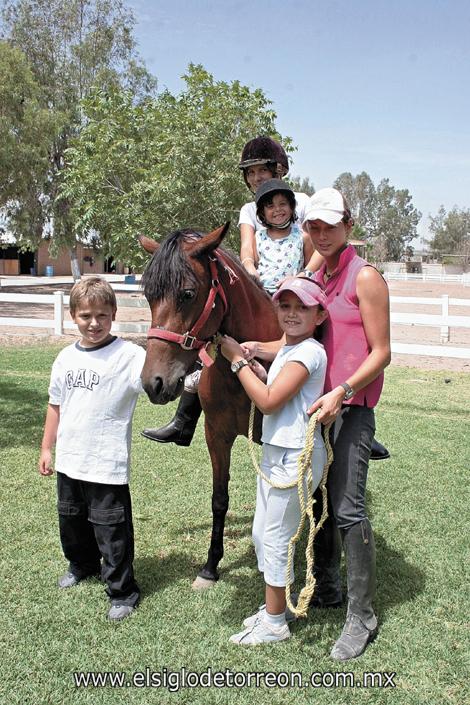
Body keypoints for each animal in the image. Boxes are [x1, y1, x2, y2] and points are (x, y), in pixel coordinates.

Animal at [138, 223, 280, 584]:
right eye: (149, 296)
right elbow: (219, 500)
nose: (152, 382)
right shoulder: (216, 436)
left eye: (188, 294)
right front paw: (211, 565)